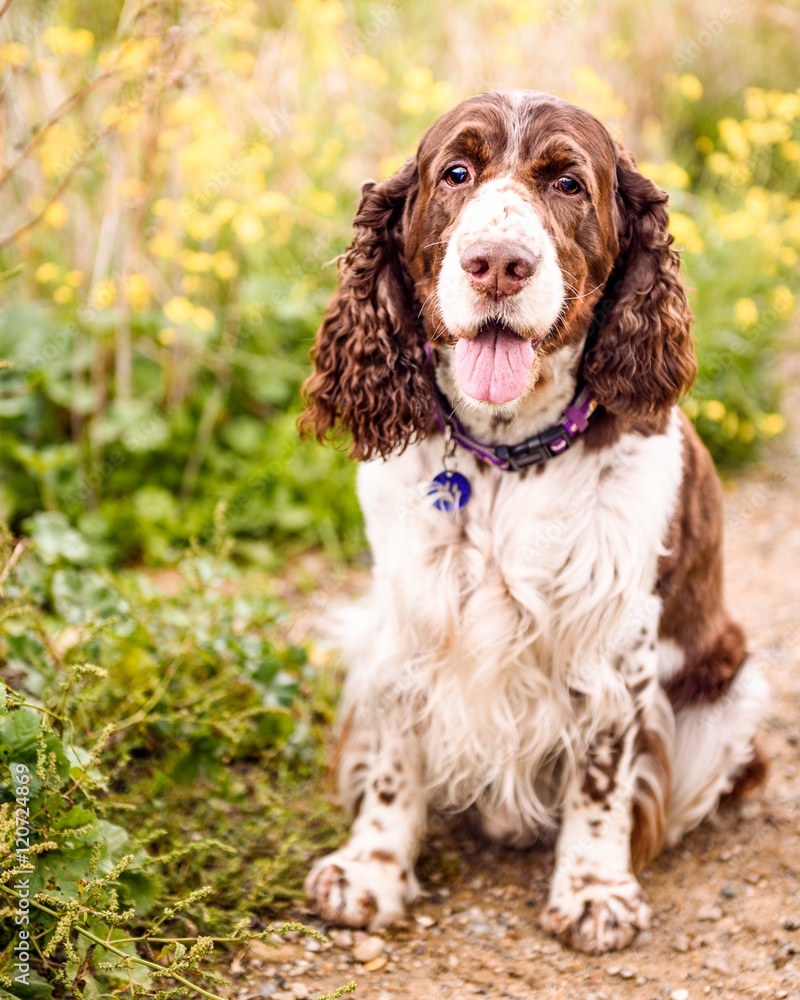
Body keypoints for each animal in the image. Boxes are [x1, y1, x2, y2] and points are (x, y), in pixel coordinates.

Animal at [296, 92, 764, 952]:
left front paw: (595, 889)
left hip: (732, 695)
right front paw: (371, 868)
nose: (498, 263)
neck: (504, 455)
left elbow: (603, 774)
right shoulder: (411, 610)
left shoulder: (617, 636)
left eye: (568, 183)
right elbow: (396, 749)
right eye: (456, 172)